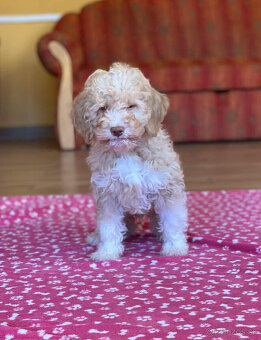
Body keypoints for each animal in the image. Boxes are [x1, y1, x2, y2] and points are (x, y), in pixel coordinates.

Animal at [72, 63, 188, 260]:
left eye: (131, 106)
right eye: (103, 108)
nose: (117, 130)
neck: (127, 151)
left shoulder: (167, 187)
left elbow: (172, 219)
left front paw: (175, 247)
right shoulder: (107, 194)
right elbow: (109, 226)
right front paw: (107, 252)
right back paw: (96, 237)